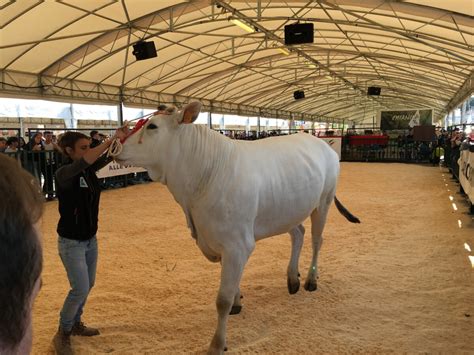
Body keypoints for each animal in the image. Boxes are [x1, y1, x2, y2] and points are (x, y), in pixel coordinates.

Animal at [117, 101, 360, 354]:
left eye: (152, 126)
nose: (116, 147)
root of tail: (320, 143)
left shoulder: (237, 243)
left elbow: (222, 299)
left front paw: (217, 343)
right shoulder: (219, 237)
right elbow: (231, 285)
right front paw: (237, 300)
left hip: (324, 200)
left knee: (316, 240)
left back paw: (311, 280)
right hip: (286, 211)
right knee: (298, 234)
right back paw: (292, 278)